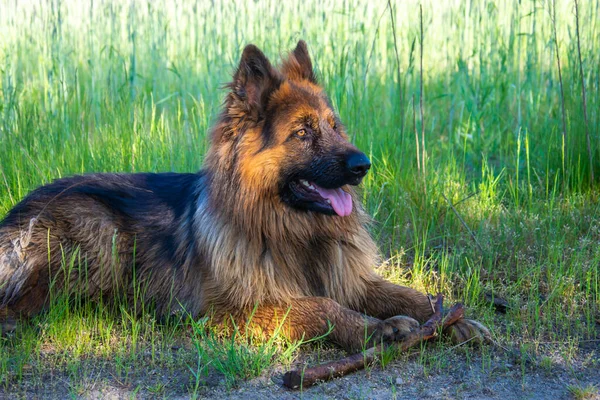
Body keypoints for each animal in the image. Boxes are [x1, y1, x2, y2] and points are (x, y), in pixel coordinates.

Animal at [0, 41, 488, 350]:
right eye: (303, 132)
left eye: (334, 126)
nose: (362, 165)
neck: (293, 229)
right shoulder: (239, 308)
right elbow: (320, 307)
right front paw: (377, 330)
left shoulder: (350, 278)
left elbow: (410, 294)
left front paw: (457, 319)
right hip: (98, 230)